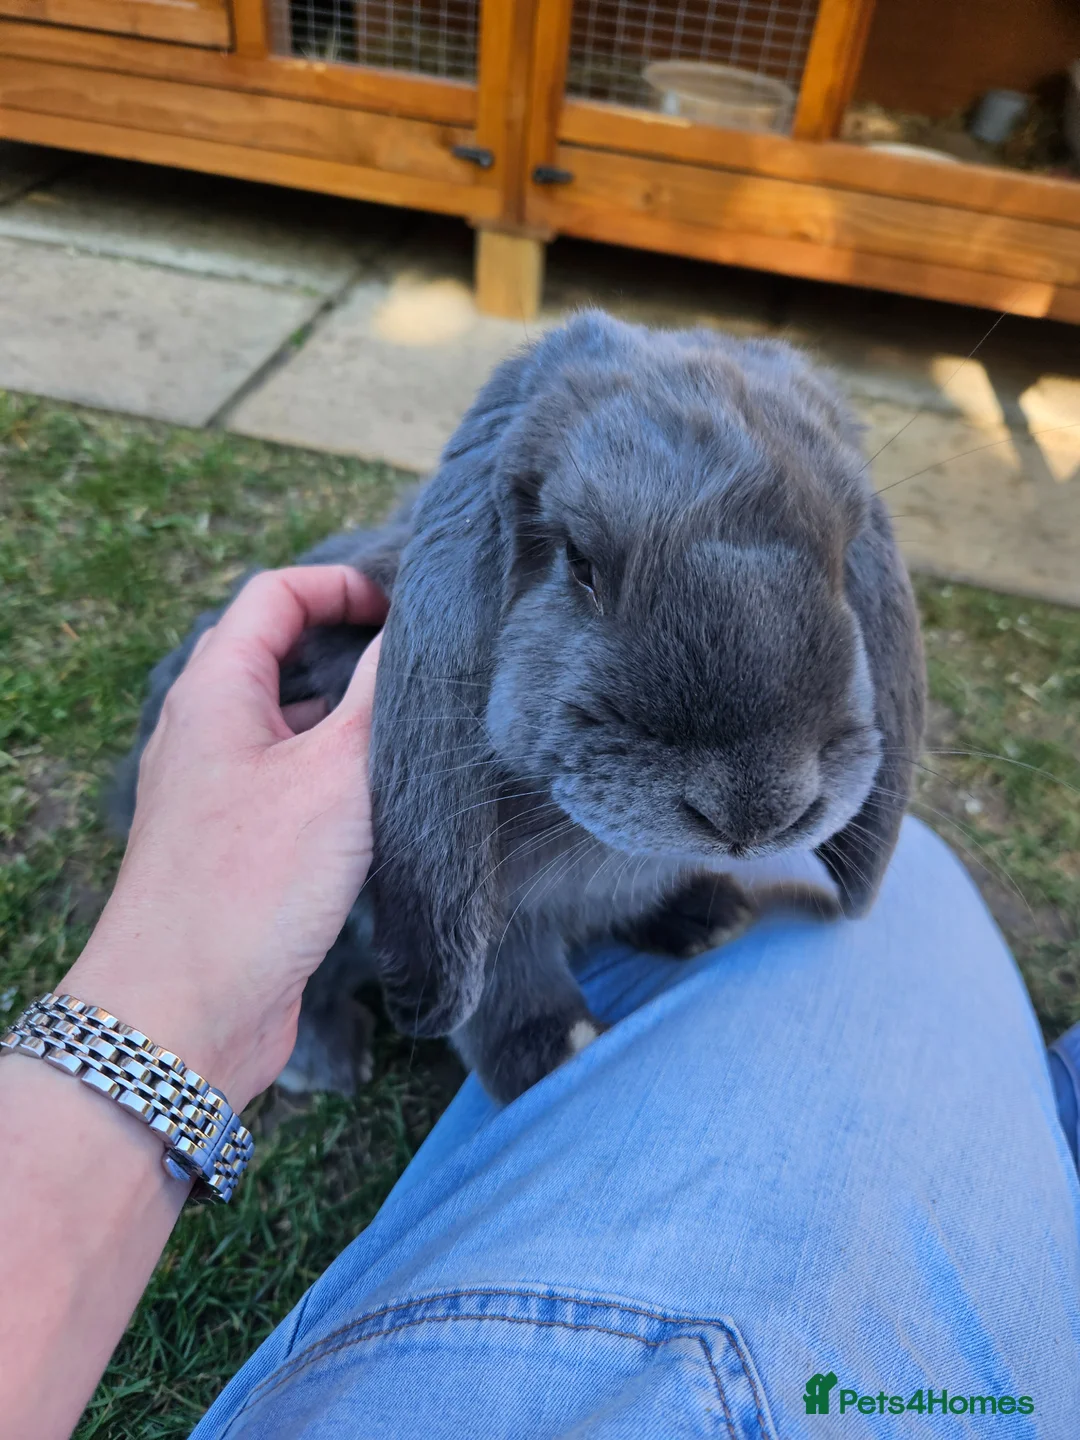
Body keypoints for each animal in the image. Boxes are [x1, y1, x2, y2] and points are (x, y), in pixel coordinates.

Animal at [114, 310, 924, 1105]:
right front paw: (554, 1054)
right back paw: (325, 1065)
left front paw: (706, 915)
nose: (757, 809)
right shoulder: (475, 911)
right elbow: (507, 984)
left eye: (844, 557)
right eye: (581, 563)